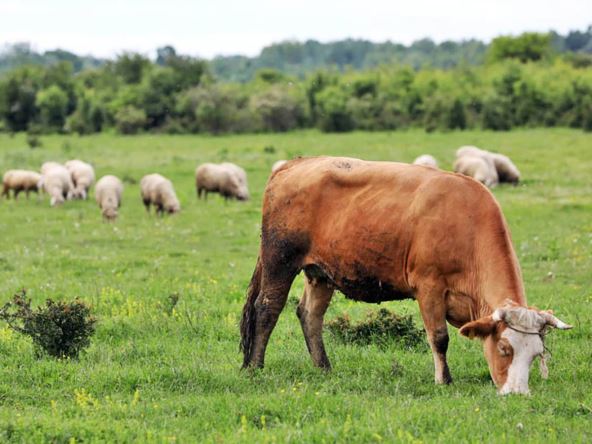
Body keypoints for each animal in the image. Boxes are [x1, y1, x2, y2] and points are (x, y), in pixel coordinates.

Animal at [239, 157, 568, 396]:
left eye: (536, 354)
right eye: (504, 349)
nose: (518, 393)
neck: (467, 223)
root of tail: (294, 164)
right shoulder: (429, 286)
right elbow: (439, 338)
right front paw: (444, 380)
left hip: (320, 273)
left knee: (309, 314)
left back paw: (323, 367)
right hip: (279, 261)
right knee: (267, 309)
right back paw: (255, 366)